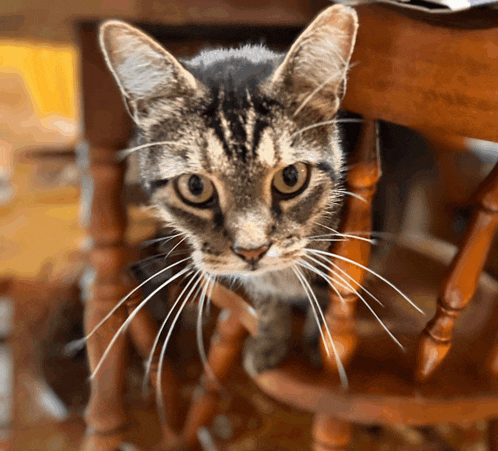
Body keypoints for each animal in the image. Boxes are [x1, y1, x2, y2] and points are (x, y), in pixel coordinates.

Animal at [99, 5, 360, 376]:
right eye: (195, 186)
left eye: (291, 177)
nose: (253, 252)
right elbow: (267, 300)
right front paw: (270, 340)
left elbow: (327, 298)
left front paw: (317, 346)